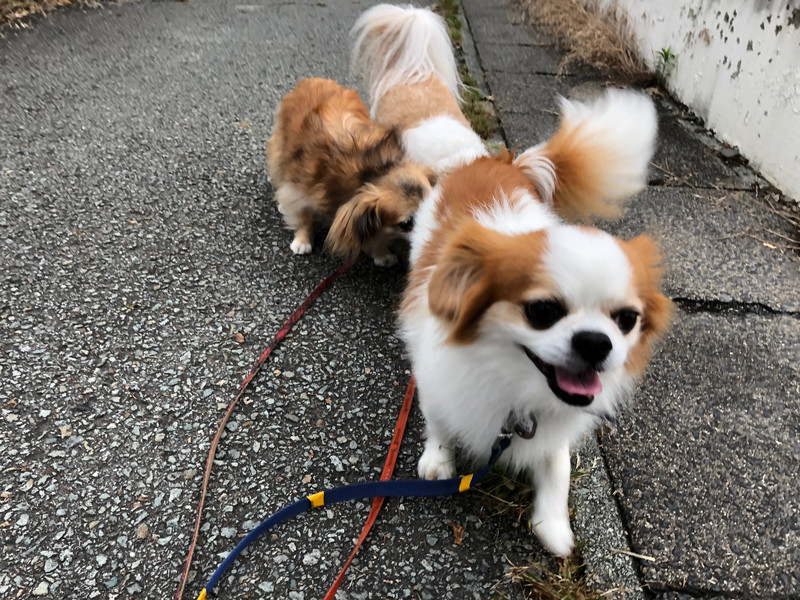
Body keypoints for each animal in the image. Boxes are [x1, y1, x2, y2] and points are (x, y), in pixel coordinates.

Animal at [267, 77, 435, 266]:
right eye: (407, 223)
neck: (371, 170)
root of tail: (312, 80)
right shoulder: (300, 188)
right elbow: (304, 214)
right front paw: (303, 239)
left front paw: (381, 252)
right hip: (280, 151)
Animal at [398, 88, 672, 557]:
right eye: (542, 311)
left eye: (626, 319)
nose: (596, 342)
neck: (515, 382)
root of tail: (492, 160)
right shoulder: (436, 381)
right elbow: (438, 422)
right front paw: (438, 459)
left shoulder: (550, 431)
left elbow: (558, 467)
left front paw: (554, 525)